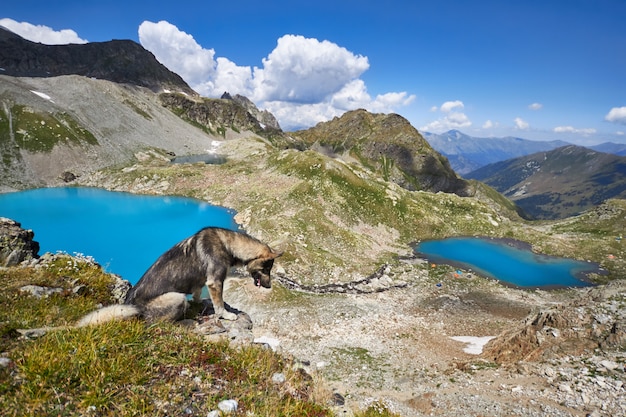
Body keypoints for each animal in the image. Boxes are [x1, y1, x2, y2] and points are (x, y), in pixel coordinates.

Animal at [77, 228, 282, 324]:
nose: (269, 287)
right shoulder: (215, 282)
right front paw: (226, 315)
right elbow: (219, 304)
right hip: (176, 298)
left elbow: (199, 292)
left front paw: (199, 302)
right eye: (266, 270)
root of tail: (132, 306)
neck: (228, 244)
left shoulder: (203, 281)